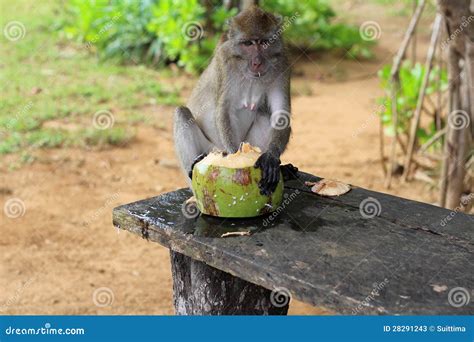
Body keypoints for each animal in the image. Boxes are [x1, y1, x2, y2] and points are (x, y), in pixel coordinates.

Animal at [172, 6, 296, 195]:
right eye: (248, 44)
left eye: (264, 42)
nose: (257, 62)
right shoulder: (225, 62)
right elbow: (225, 110)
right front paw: (235, 158)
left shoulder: (283, 62)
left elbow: (280, 115)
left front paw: (271, 158)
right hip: (210, 148)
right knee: (182, 114)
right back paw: (193, 172)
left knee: (263, 115)